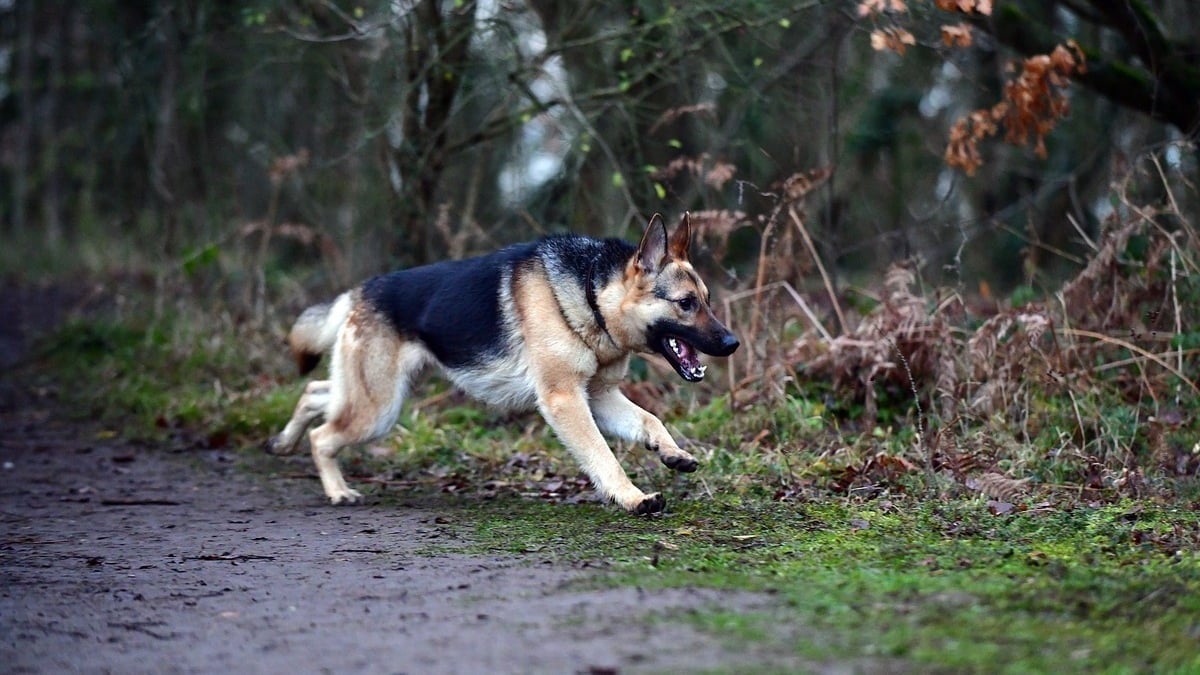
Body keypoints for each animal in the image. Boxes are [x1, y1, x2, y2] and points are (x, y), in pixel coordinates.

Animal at [271, 212, 734, 511]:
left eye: (707, 301)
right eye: (686, 304)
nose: (733, 343)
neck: (591, 293)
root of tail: (358, 292)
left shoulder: (600, 397)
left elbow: (650, 421)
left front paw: (673, 453)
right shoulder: (566, 401)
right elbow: (603, 456)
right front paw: (633, 498)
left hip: (377, 396)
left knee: (315, 393)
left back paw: (283, 441)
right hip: (379, 410)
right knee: (323, 436)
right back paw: (336, 490)